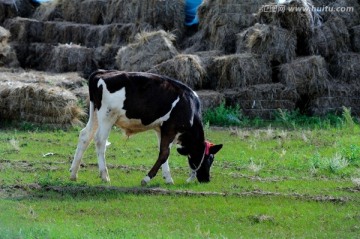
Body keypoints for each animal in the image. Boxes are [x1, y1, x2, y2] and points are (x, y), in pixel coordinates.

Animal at [70, 69, 222, 185]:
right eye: (210, 159)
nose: (206, 179)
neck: (190, 105)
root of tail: (102, 72)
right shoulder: (170, 128)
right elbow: (164, 153)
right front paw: (147, 178)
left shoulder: (161, 129)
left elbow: (164, 151)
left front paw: (168, 178)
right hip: (107, 116)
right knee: (100, 140)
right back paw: (104, 176)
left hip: (95, 113)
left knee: (85, 136)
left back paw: (73, 173)